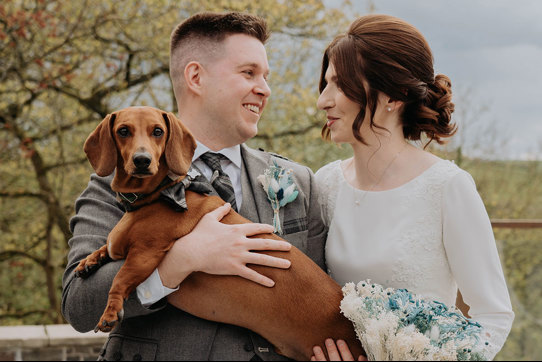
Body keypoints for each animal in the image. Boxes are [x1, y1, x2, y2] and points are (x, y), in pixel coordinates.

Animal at [75, 106, 366, 360]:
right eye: (123, 131)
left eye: (157, 131)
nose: (142, 161)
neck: (158, 196)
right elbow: (104, 249)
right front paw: (89, 261)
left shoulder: (146, 253)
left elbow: (120, 278)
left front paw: (110, 311)